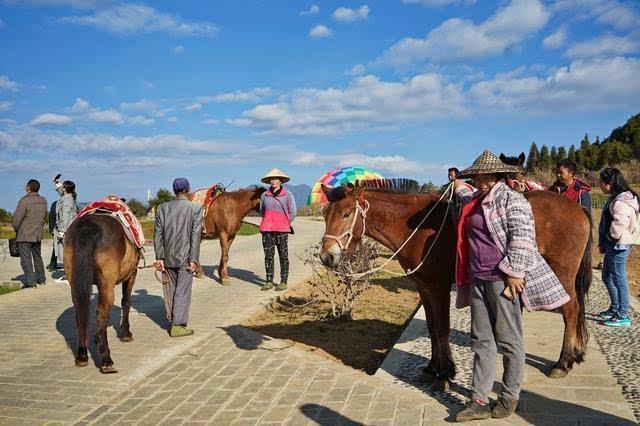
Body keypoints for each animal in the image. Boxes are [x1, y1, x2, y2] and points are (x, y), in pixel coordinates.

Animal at [64, 214, 140, 374]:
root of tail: (87, 227)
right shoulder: (132, 274)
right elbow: (126, 301)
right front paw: (125, 333)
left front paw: (97, 337)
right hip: (107, 284)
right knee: (102, 313)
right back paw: (106, 359)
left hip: (74, 280)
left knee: (80, 313)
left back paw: (82, 355)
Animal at [319, 179, 591, 390]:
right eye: (324, 215)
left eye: (346, 213)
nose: (327, 256)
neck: (416, 229)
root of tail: (578, 208)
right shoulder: (424, 288)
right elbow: (431, 328)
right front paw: (432, 368)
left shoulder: (439, 288)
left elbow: (442, 329)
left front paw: (445, 372)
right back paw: (576, 354)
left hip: (563, 274)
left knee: (570, 311)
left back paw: (563, 362)